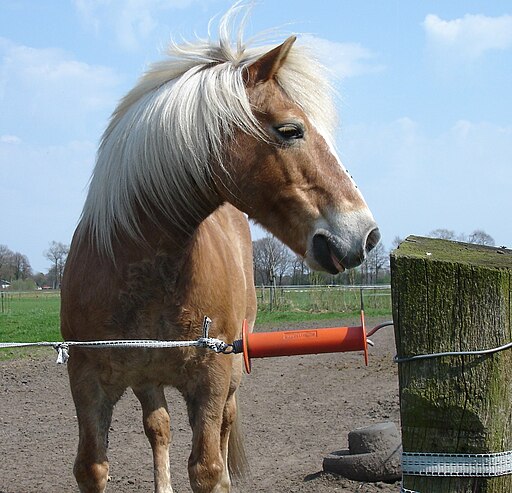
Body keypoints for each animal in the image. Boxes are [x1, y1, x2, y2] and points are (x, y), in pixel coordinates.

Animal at [60, 4, 380, 492]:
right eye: (291, 129)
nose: (366, 234)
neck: (139, 268)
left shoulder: (211, 377)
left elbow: (208, 468)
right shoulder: (87, 383)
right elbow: (94, 466)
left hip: (228, 376)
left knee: (224, 425)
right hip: (147, 379)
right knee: (159, 427)